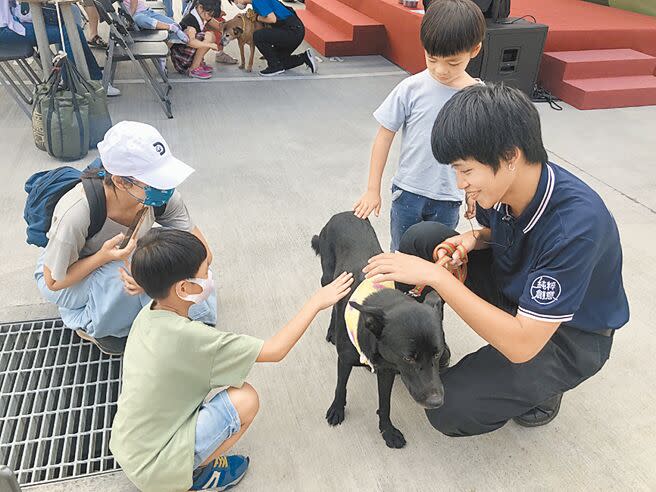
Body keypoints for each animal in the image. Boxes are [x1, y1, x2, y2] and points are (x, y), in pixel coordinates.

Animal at [312, 212, 446, 450]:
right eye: (408, 358)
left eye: (437, 353)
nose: (436, 402)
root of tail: (343, 213)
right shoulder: (344, 360)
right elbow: (340, 387)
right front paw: (337, 409)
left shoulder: (387, 370)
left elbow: (385, 403)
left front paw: (387, 430)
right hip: (327, 277)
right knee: (332, 298)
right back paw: (332, 330)